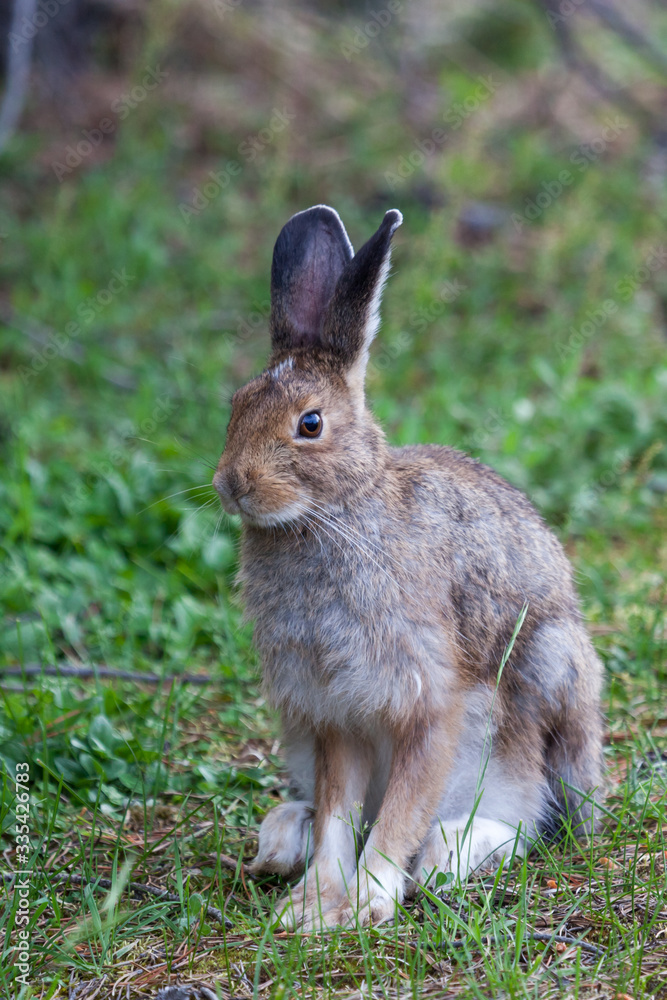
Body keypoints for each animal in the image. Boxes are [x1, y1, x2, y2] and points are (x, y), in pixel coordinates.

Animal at [213, 205, 604, 930]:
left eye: (310, 424)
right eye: (237, 404)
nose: (232, 485)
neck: (334, 513)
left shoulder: (427, 699)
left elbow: (402, 809)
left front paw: (367, 900)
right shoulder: (332, 713)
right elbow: (340, 810)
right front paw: (314, 907)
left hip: (551, 672)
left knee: (536, 819)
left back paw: (451, 850)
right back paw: (284, 839)